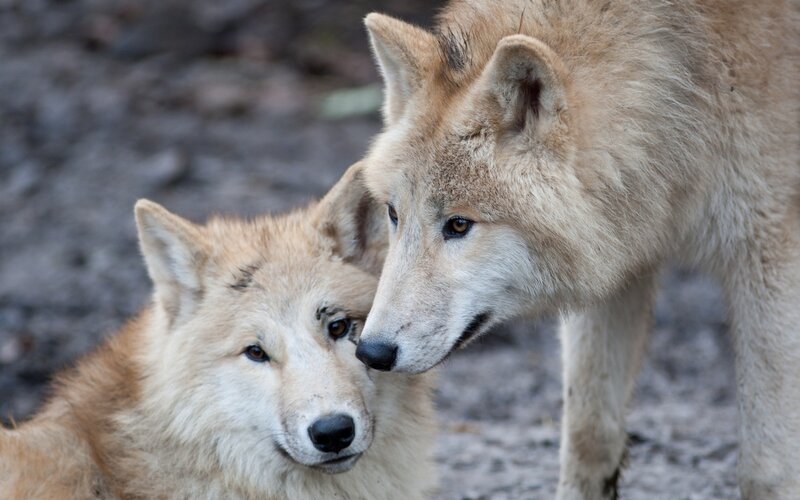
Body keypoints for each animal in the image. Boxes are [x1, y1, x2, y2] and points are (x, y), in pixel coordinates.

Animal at [353, 1, 800, 498]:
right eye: (394, 214)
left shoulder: (770, 249)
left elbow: (765, 467)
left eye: (459, 224)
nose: (371, 351)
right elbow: (589, 436)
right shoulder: (616, 261)